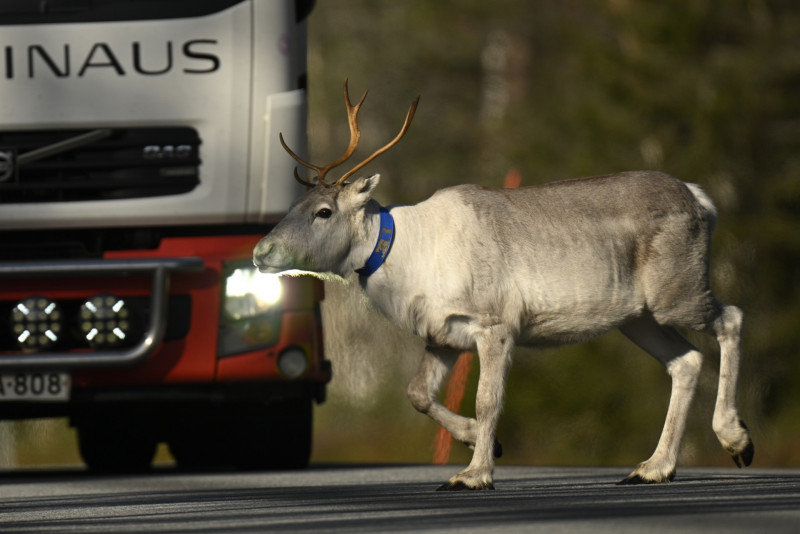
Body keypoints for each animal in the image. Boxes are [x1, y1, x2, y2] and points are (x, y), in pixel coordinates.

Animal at [253, 80, 754, 490]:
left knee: (731, 318)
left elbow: (488, 399)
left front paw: (474, 473)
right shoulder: (442, 334)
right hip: (639, 317)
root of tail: (701, 199)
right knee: (687, 361)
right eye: (295, 205)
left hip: (676, 293)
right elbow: (417, 394)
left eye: (324, 211)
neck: (404, 254)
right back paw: (654, 467)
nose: (261, 251)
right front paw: (483, 444)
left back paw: (736, 440)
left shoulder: (495, 324)